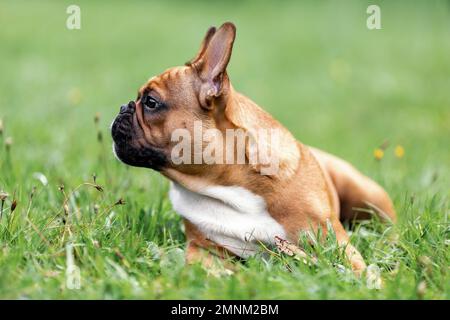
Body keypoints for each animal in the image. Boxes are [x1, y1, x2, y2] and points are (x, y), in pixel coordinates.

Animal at [110, 22, 396, 276]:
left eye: (150, 102)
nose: (122, 107)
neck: (226, 184)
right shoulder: (204, 247)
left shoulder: (334, 243)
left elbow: (355, 268)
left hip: (365, 195)